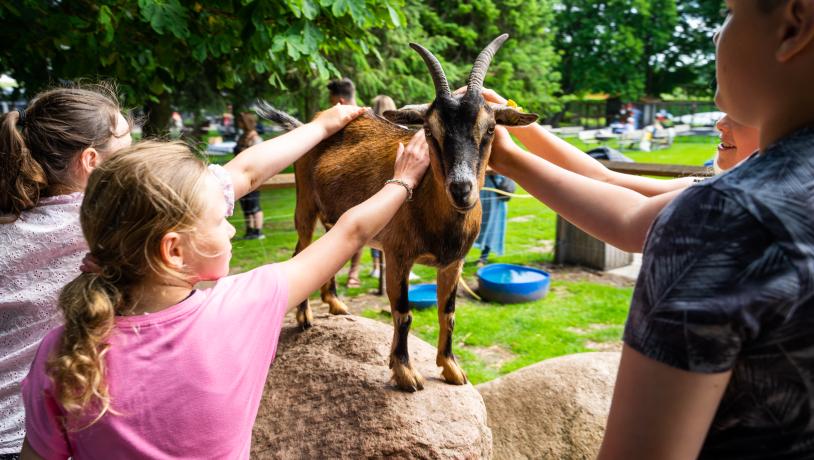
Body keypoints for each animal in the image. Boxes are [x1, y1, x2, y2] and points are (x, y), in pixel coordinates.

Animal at [262, 35, 540, 392]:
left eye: (490, 128)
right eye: (430, 132)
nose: (461, 189)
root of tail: (307, 124)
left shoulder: (453, 262)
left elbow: (448, 312)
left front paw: (452, 368)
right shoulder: (397, 254)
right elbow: (403, 313)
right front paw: (406, 373)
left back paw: (335, 304)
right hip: (305, 203)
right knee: (301, 250)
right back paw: (305, 316)